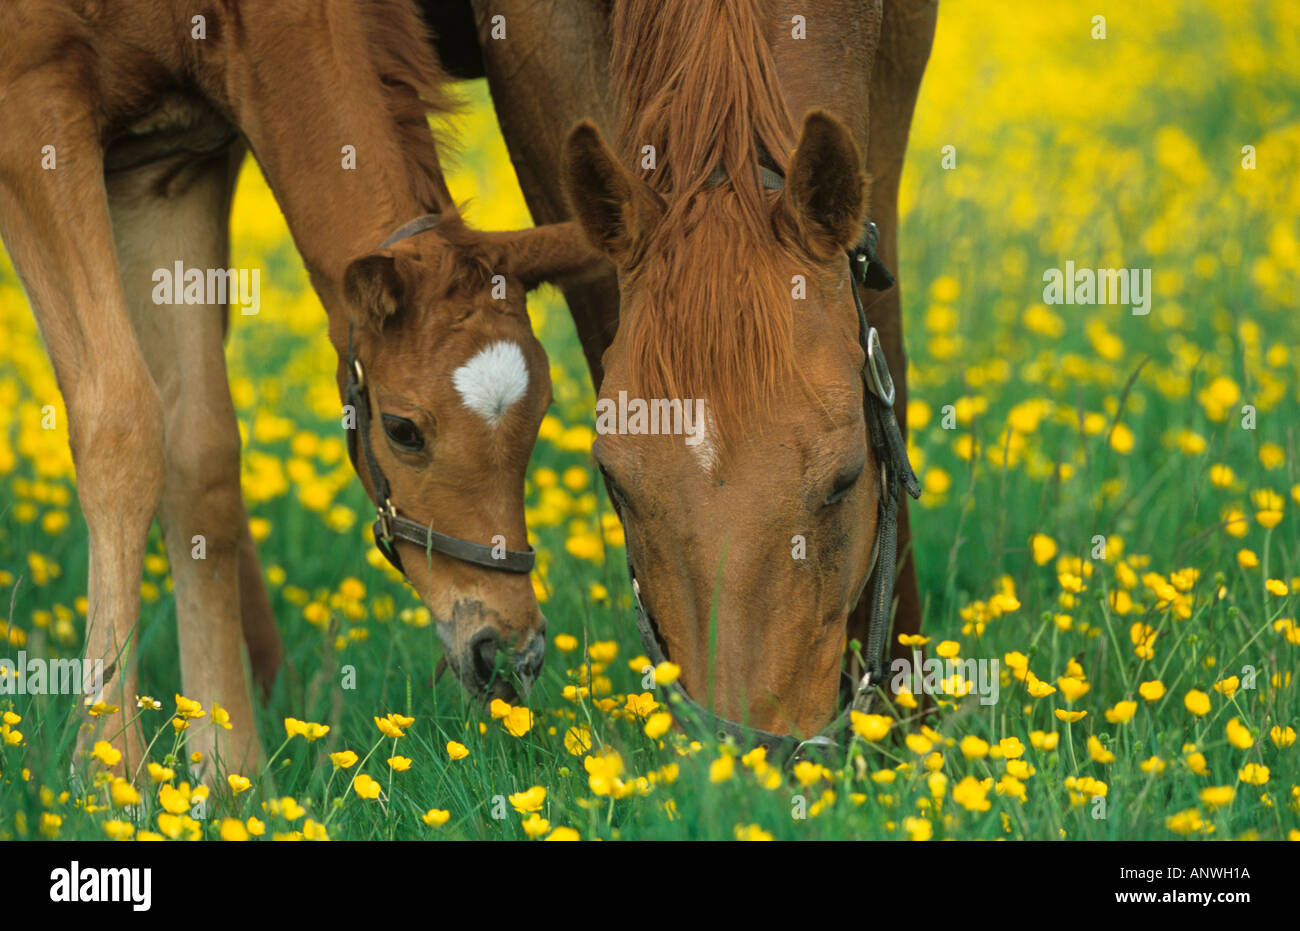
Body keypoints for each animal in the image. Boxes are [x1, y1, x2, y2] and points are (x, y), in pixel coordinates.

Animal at [0, 0, 597, 781]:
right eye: (403, 429)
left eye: (542, 412)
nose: (504, 649)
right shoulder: (32, 105)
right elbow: (122, 424)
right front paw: (108, 771)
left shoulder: (169, 167)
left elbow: (200, 453)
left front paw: (229, 769)